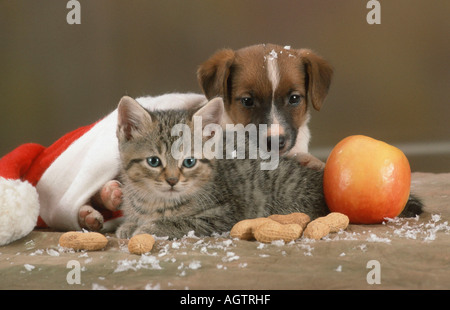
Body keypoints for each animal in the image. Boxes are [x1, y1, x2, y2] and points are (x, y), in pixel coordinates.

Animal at [115, 95, 422, 239]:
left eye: (188, 162)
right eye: (154, 161)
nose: (171, 180)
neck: (156, 201)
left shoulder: (223, 216)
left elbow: (178, 221)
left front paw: (148, 227)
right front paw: (128, 224)